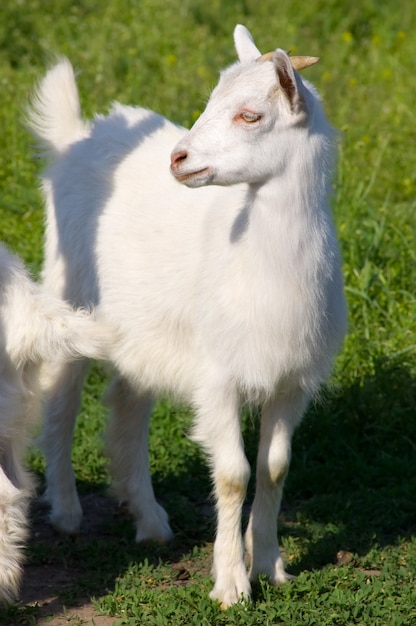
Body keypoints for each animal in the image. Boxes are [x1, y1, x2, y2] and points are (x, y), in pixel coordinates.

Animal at [29, 25, 346, 604]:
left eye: (250, 115)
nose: (178, 159)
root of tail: (77, 136)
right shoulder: (218, 376)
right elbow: (234, 474)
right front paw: (232, 584)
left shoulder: (293, 379)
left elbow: (274, 468)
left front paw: (270, 564)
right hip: (68, 291)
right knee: (60, 400)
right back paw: (66, 512)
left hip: (140, 327)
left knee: (126, 401)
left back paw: (150, 521)